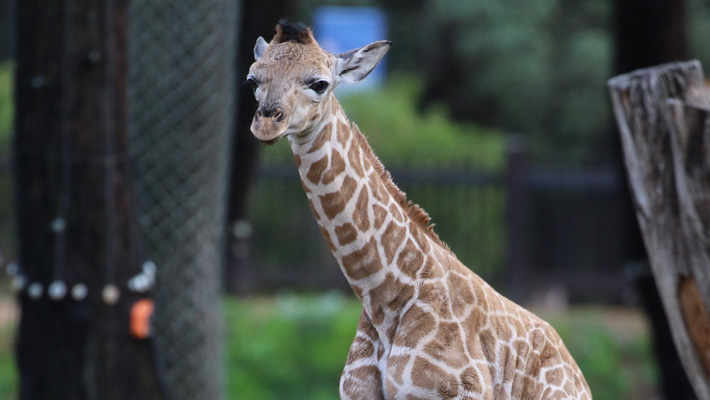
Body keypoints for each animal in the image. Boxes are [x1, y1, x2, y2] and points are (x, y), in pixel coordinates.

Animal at [247, 21, 592, 400]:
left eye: (320, 83)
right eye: (252, 79)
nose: (267, 124)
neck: (384, 301)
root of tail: (578, 375)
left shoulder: (457, 392)